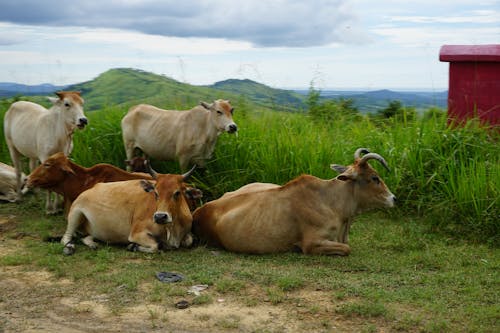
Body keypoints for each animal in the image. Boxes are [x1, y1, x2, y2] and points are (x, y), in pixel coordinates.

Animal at [61, 164, 202, 254]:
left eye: (177, 193)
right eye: (156, 193)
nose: (160, 216)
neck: (172, 228)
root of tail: (93, 187)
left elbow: (189, 240)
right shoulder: (136, 233)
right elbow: (156, 245)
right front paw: (133, 246)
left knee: (86, 237)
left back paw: (92, 243)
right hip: (75, 213)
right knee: (66, 237)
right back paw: (70, 247)